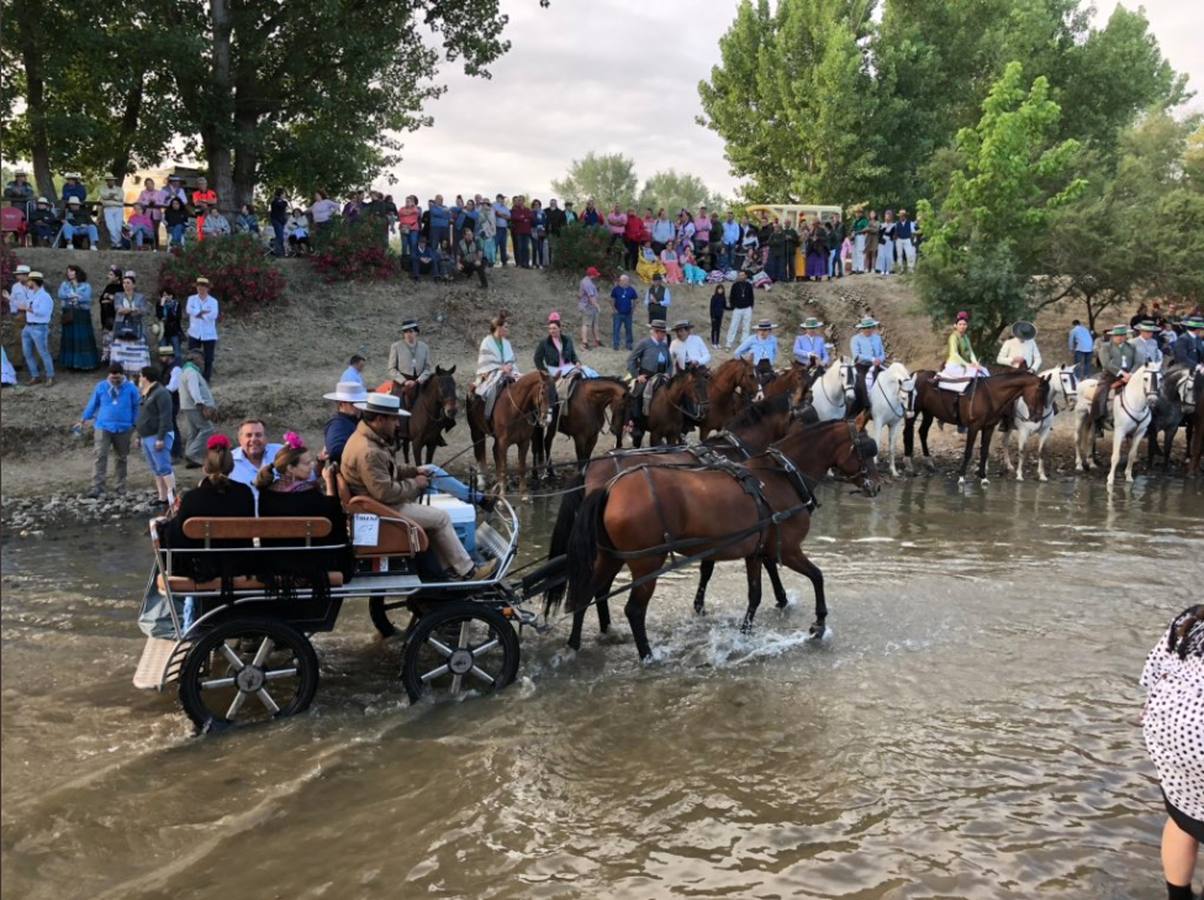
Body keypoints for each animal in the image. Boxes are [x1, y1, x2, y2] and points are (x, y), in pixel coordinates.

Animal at [563, 418, 886, 664]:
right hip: (647, 563)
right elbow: (817, 576)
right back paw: (648, 656)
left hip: (609, 557)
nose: (876, 485)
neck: (780, 477)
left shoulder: (755, 552)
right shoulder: (790, 549)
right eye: (866, 449)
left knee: (585, 594)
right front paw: (819, 623)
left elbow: (755, 595)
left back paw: (574, 646)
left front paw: (744, 635)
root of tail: (609, 488)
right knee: (633, 610)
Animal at [905, 370, 1045, 486]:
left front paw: (983, 477)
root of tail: (916, 374)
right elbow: (968, 452)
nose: (1038, 417)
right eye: (1040, 393)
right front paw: (961, 477)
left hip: (928, 412)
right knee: (908, 432)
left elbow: (984, 451)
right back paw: (909, 464)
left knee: (922, 432)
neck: (990, 395)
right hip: (914, 411)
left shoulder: (988, 428)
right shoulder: (973, 427)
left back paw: (928, 462)